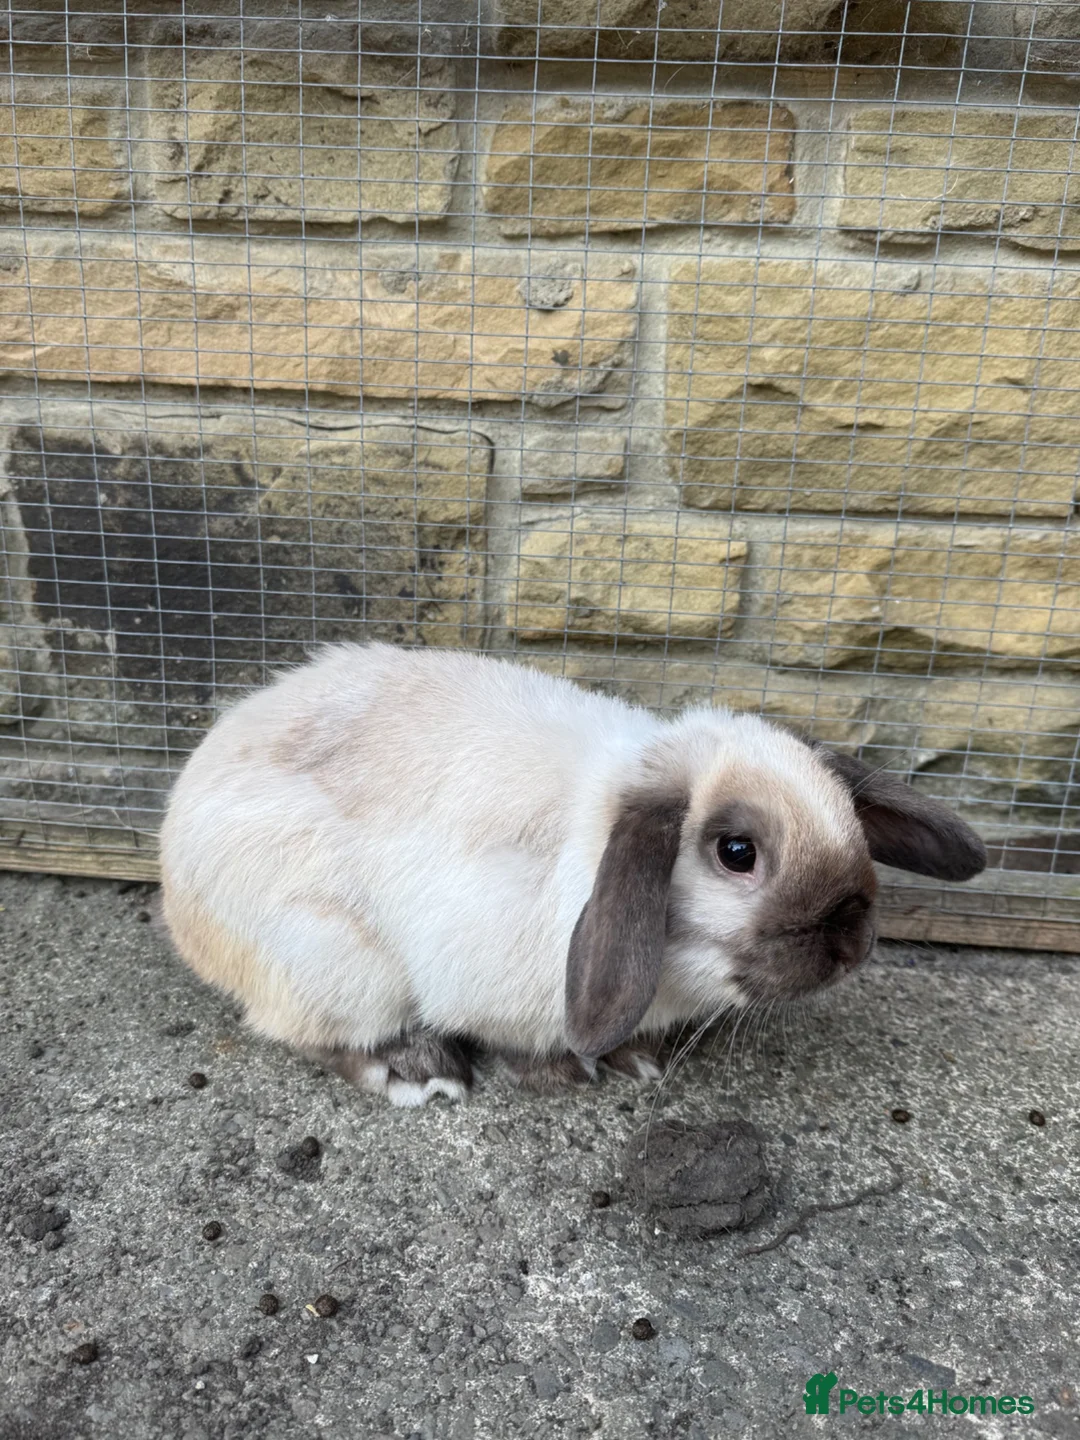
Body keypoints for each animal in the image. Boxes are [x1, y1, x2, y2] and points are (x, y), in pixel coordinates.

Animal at [160, 643, 986, 1107]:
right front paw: (562, 1073)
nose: (853, 942)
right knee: (310, 1032)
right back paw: (415, 1071)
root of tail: (177, 893)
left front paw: (635, 1059)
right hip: (332, 957)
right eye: (736, 852)